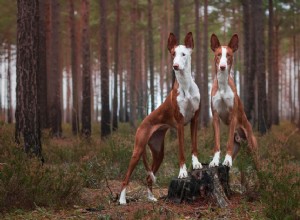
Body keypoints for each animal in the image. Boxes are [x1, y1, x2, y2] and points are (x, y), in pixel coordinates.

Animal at [119, 32, 202, 205]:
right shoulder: (179, 124)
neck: (186, 86)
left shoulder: (195, 120)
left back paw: (151, 198)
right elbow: (181, 151)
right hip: (138, 150)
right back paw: (122, 200)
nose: (175, 66)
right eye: (173, 54)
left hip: (158, 153)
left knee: (148, 177)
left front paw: (197, 164)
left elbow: (194, 145)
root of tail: (141, 124)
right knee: (126, 177)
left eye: (183, 54)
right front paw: (183, 172)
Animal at [209, 34, 258, 168]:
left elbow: (228, 142)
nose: (222, 67)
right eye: (218, 55)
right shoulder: (215, 116)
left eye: (229, 55)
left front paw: (226, 160)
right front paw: (215, 161)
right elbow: (217, 143)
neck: (222, 85)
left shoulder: (233, 116)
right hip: (239, 147)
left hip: (252, 145)